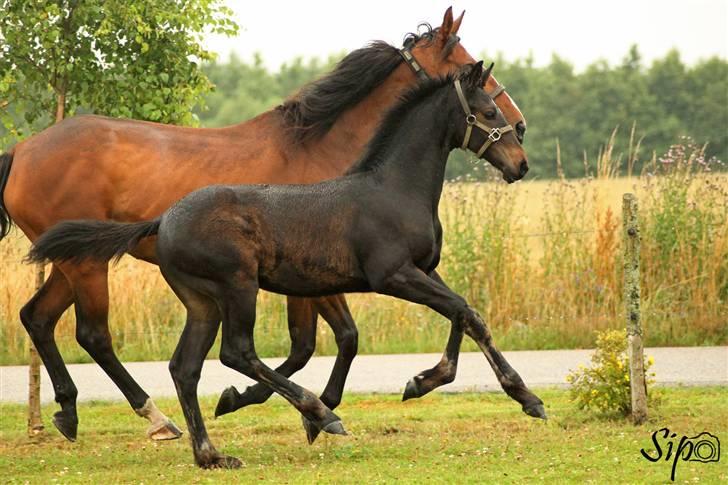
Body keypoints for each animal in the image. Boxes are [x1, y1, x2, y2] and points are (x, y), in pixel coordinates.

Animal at [0, 8, 524, 442]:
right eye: (464, 60)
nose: (519, 133)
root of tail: (21, 151)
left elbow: (327, 343)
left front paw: (268, 404)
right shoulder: (319, 279)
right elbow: (325, 342)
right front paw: (303, 410)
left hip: (71, 260)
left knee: (38, 317)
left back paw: (68, 413)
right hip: (88, 265)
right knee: (93, 334)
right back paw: (157, 418)